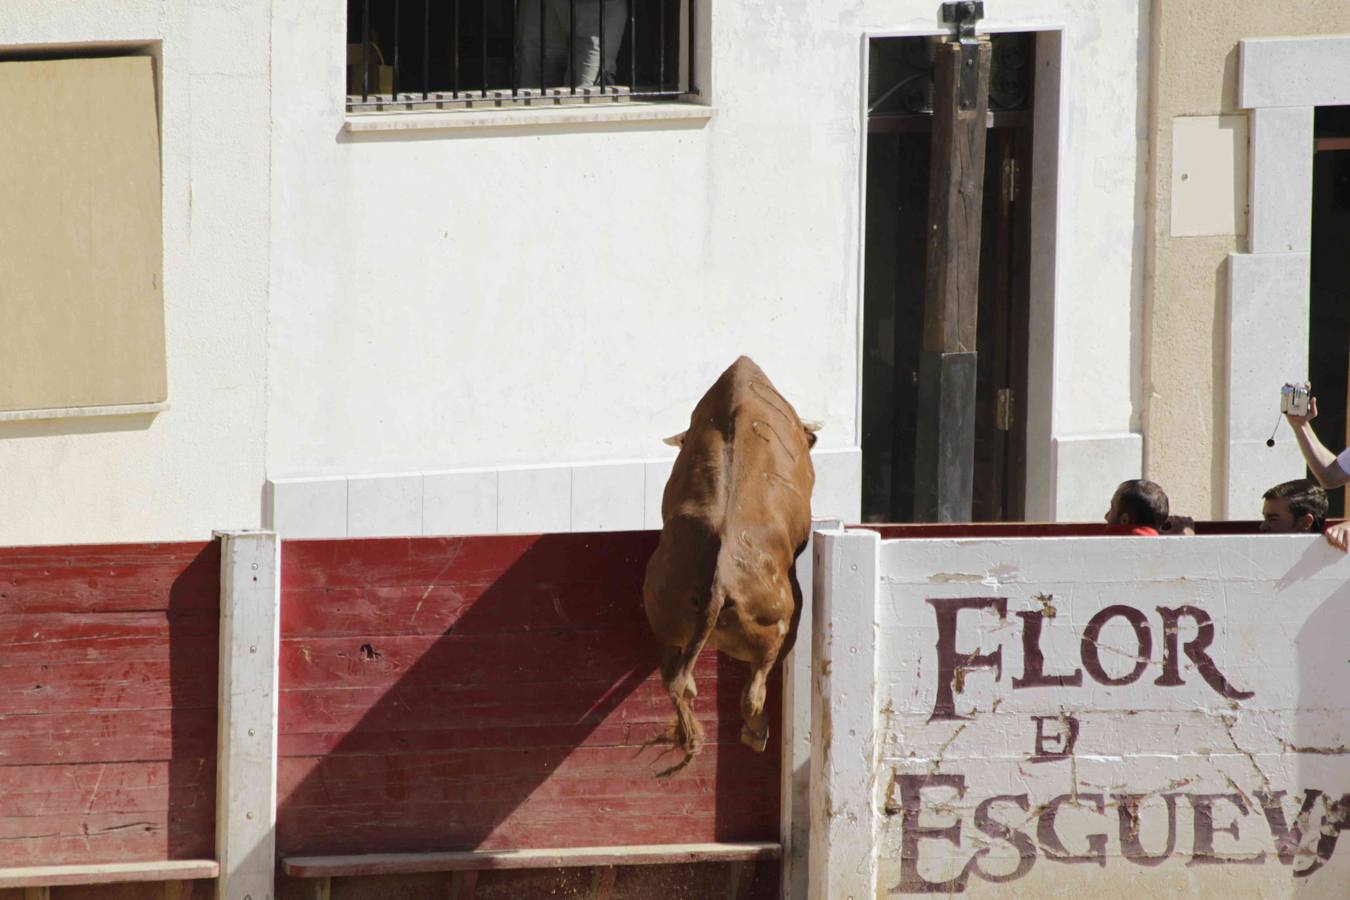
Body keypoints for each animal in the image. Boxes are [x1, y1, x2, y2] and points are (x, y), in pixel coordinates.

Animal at [639, 356, 815, 777]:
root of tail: (719, 584)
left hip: (665, 622)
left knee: (676, 681)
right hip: (775, 631)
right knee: (754, 689)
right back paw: (756, 732)